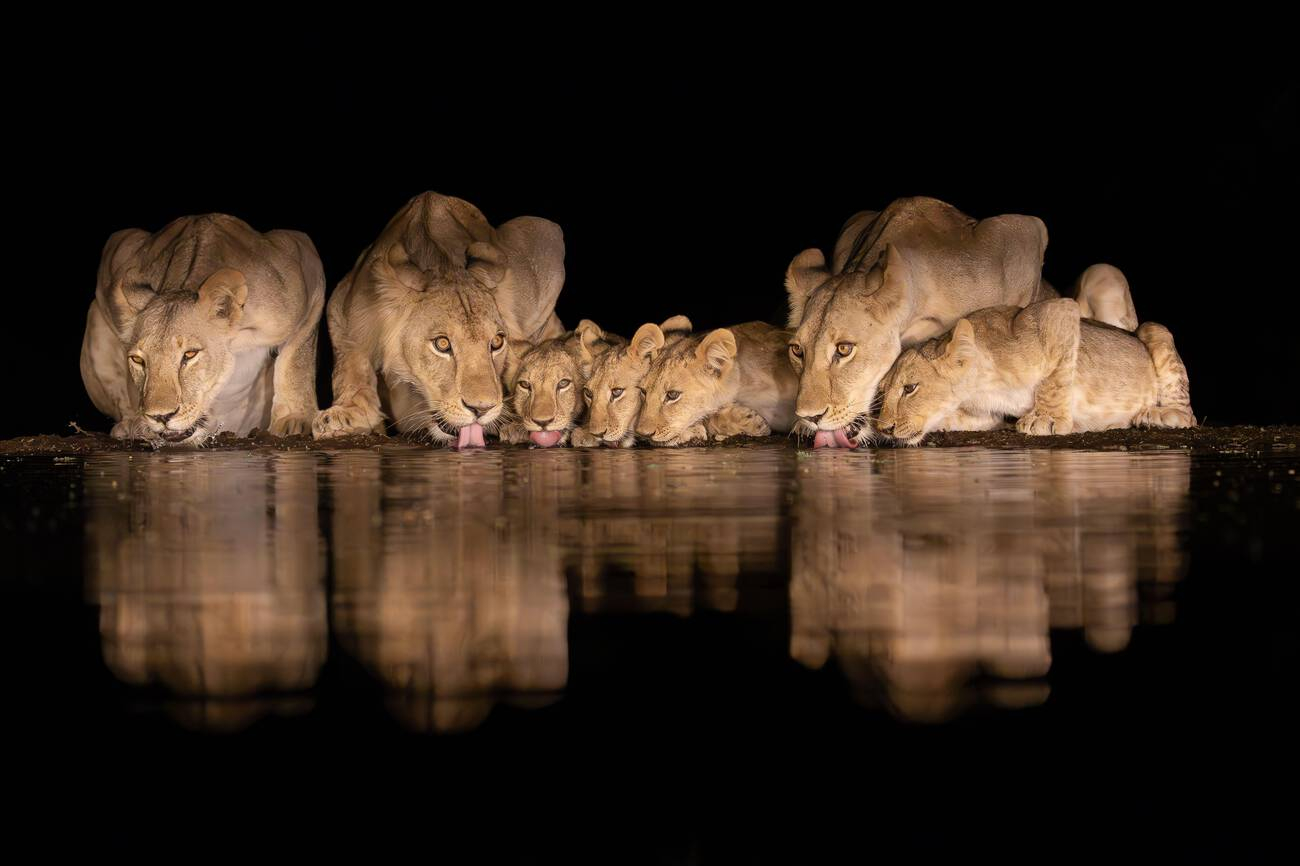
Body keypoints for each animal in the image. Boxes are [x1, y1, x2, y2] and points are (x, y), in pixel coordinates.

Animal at [80, 214, 325, 445]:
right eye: (138, 360)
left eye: (190, 354)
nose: (161, 417)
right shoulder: (118, 254)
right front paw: (138, 423)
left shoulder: (305, 268)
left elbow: (295, 361)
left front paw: (294, 419)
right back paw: (131, 425)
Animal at [313, 192, 566, 448]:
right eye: (442, 344)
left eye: (496, 342)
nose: (482, 409)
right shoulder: (343, 304)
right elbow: (350, 361)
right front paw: (344, 414)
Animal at [876, 299, 1196, 444]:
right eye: (882, 391)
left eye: (909, 388)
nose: (884, 429)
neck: (982, 385)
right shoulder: (985, 414)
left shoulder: (1058, 312)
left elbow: (1054, 380)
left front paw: (1046, 419)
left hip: (1154, 329)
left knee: (1188, 416)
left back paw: (1158, 416)